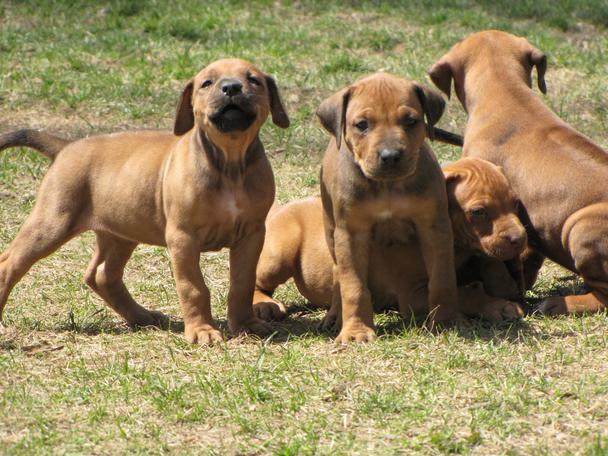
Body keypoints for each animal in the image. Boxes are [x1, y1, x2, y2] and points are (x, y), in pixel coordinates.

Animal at [0, 59, 290, 346]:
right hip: (52, 223)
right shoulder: (183, 238)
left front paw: (247, 324)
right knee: (9, 264)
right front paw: (202, 330)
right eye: (207, 83)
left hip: (120, 232)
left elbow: (242, 283)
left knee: (102, 275)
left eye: (253, 80)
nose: (231, 87)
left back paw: (141, 316)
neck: (230, 163)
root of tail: (66, 147)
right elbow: (193, 287)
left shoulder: (252, 234)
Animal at [254, 157, 524, 324]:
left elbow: (488, 263)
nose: (520, 238)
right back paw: (264, 305)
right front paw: (497, 306)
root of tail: (280, 208)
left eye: (515, 202)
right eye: (478, 212)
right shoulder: (413, 294)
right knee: (257, 281)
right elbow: (463, 293)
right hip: (279, 255)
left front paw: (504, 284)